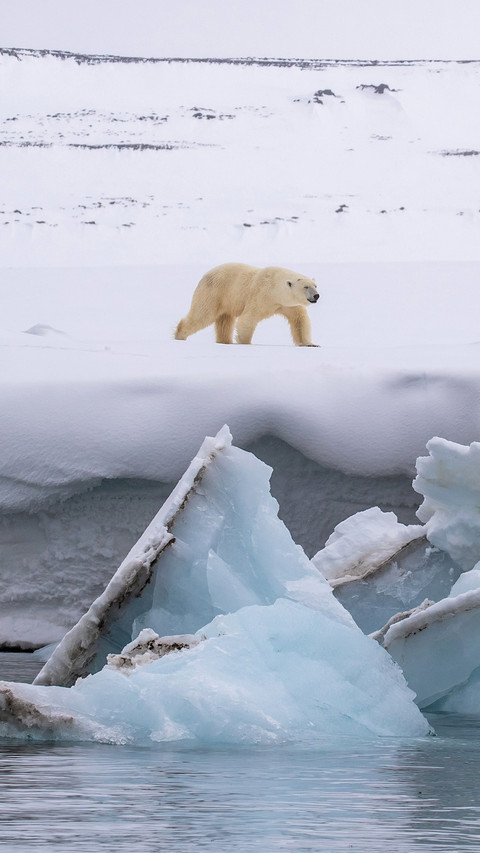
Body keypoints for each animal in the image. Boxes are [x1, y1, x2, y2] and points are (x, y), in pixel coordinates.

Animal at [174, 263, 320, 346]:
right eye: (306, 287)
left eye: (315, 285)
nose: (316, 296)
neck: (275, 288)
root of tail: (205, 275)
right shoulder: (261, 295)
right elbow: (249, 318)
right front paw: (245, 342)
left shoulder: (288, 304)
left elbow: (299, 319)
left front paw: (310, 344)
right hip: (214, 293)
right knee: (202, 314)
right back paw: (179, 335)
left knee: (225, 321)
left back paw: (225, 341)